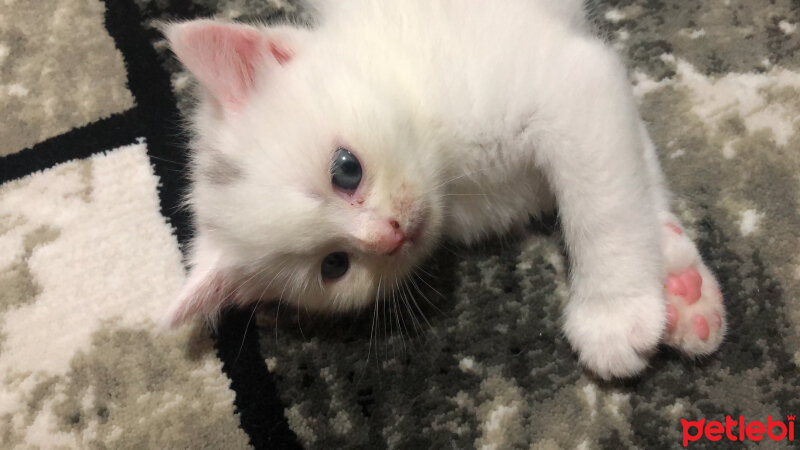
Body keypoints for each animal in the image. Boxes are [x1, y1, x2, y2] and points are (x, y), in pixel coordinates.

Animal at [162, 0, 724, 380]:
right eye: (335, 265)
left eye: (346, 170)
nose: (389, 235)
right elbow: (629, 167)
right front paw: (679, 280)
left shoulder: (570, 82)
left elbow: (604, 205)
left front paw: (614, 313)